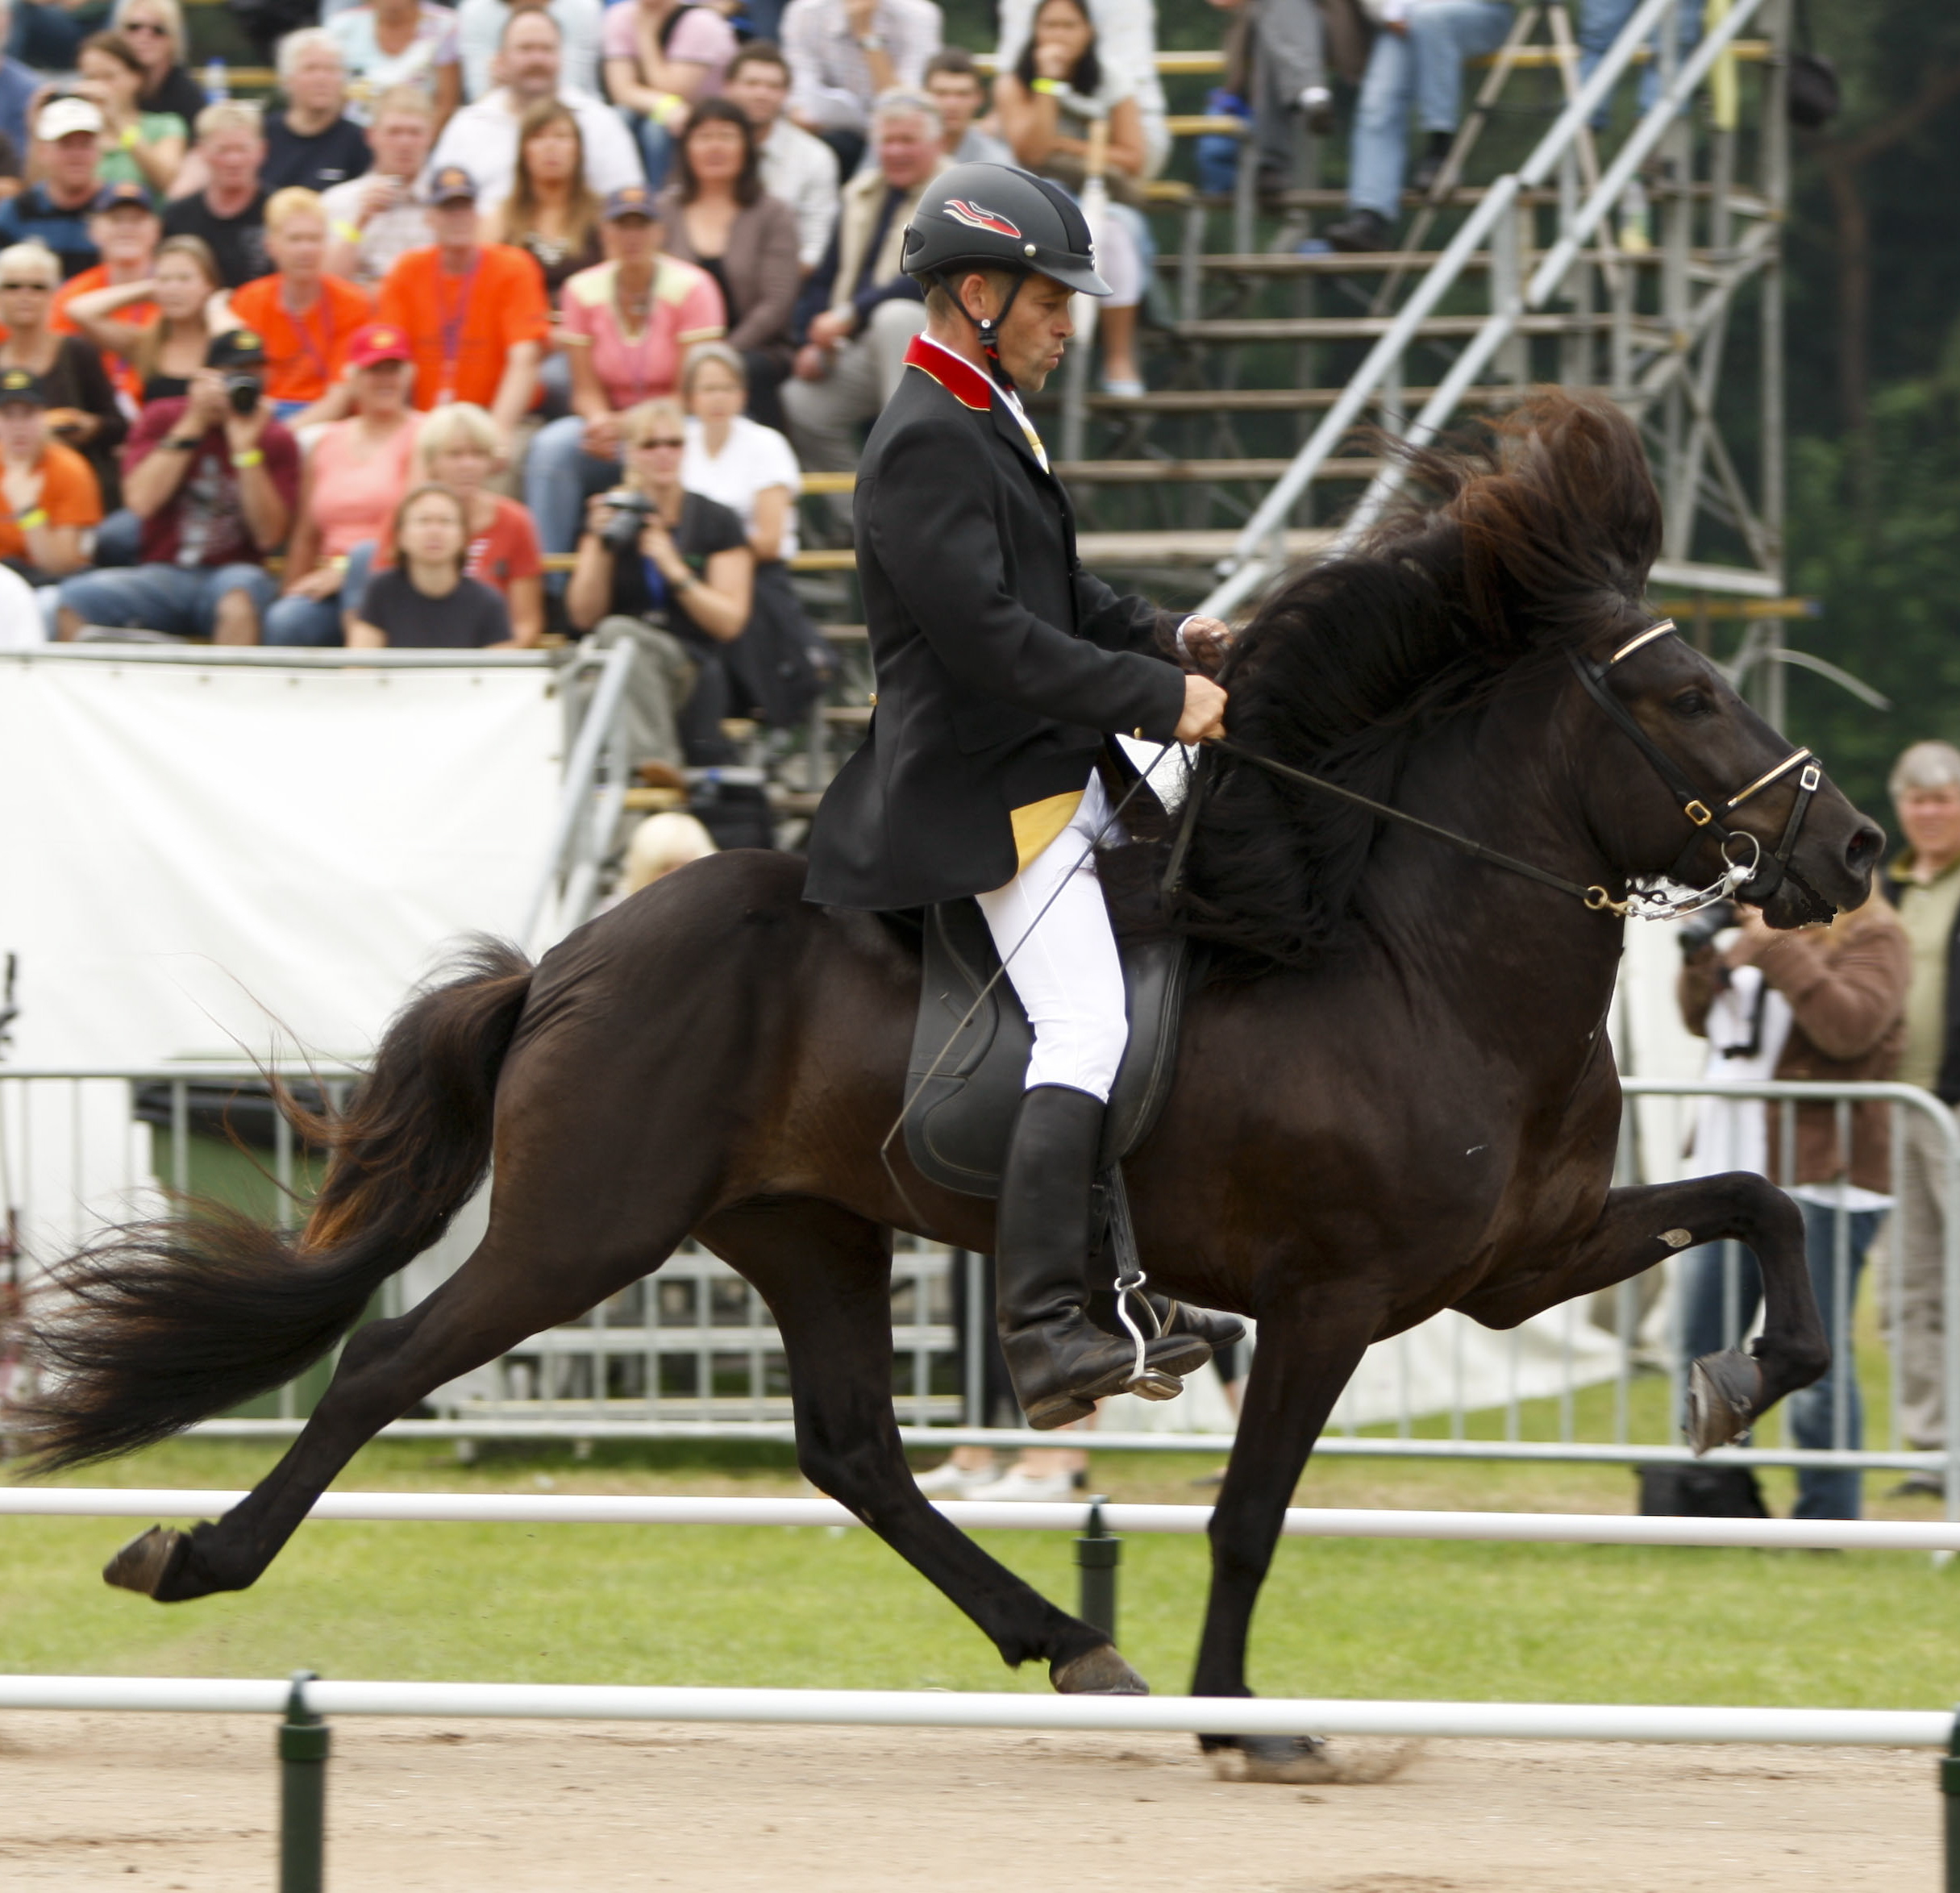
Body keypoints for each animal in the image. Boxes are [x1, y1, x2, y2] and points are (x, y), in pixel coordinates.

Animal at [15, 395, 1881, 1779]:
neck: (1410, 954)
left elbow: (1762, 1200)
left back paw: (1073, 1645)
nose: (1857, 848)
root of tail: (571, 955)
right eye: (1690, 695)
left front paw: (1738, 1385)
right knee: (387, 1364)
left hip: (802, 1225)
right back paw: (191, 1554)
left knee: (854, 1451)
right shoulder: (1333, 1296)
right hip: (585, 1224)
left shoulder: (1514, 1261)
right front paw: (1249, 1721)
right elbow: (1249, 1513)